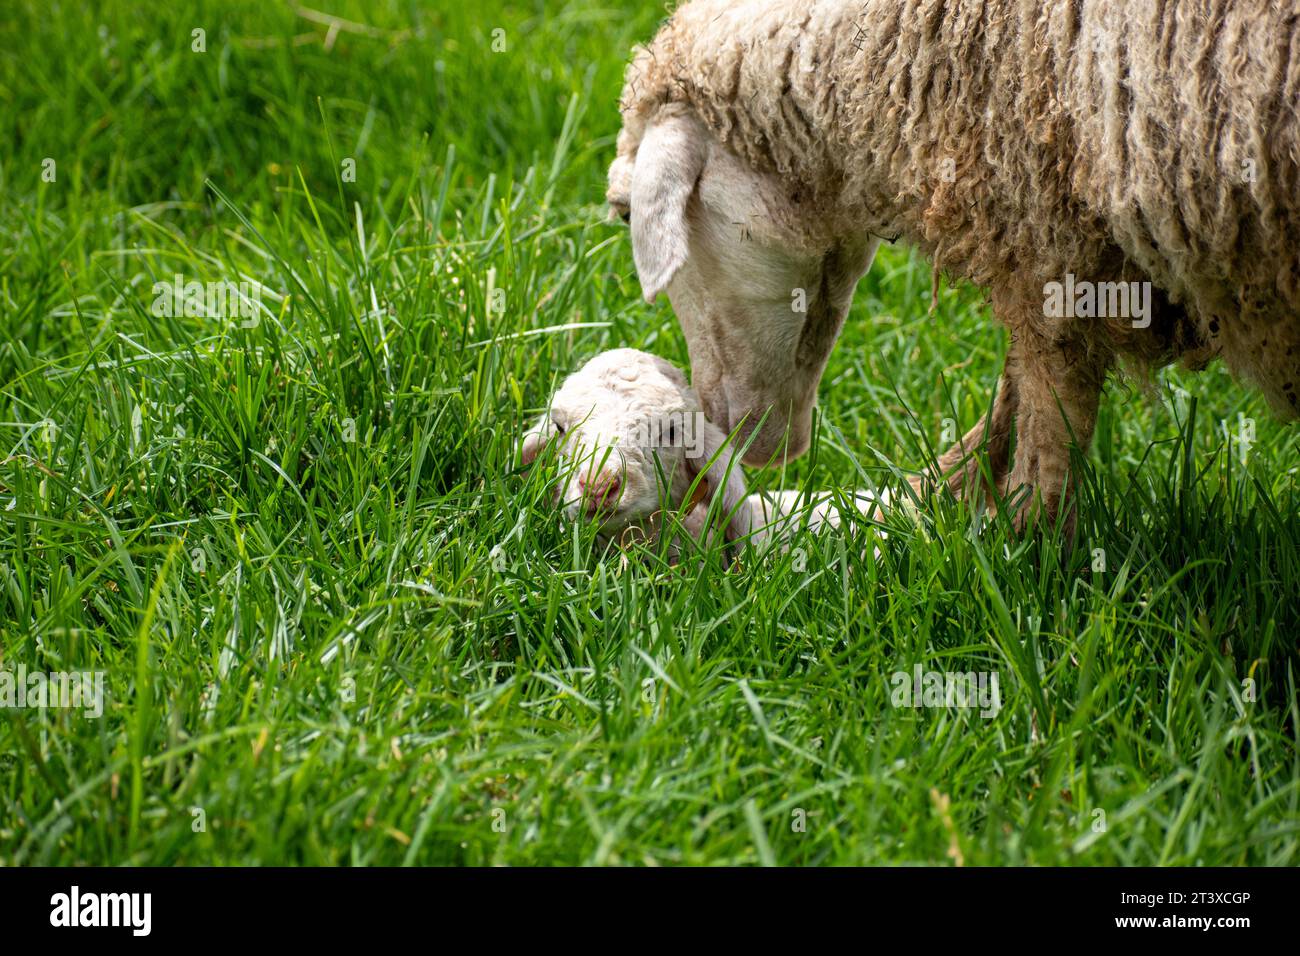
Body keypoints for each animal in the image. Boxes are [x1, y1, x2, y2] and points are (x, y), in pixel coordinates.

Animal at [606, 0, 1300, 531]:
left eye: (626, 212)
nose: (723, 431)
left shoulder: (1050, 227)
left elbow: (1049, 420)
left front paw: (1018, 547)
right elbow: (1016, 389)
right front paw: (916, 503)